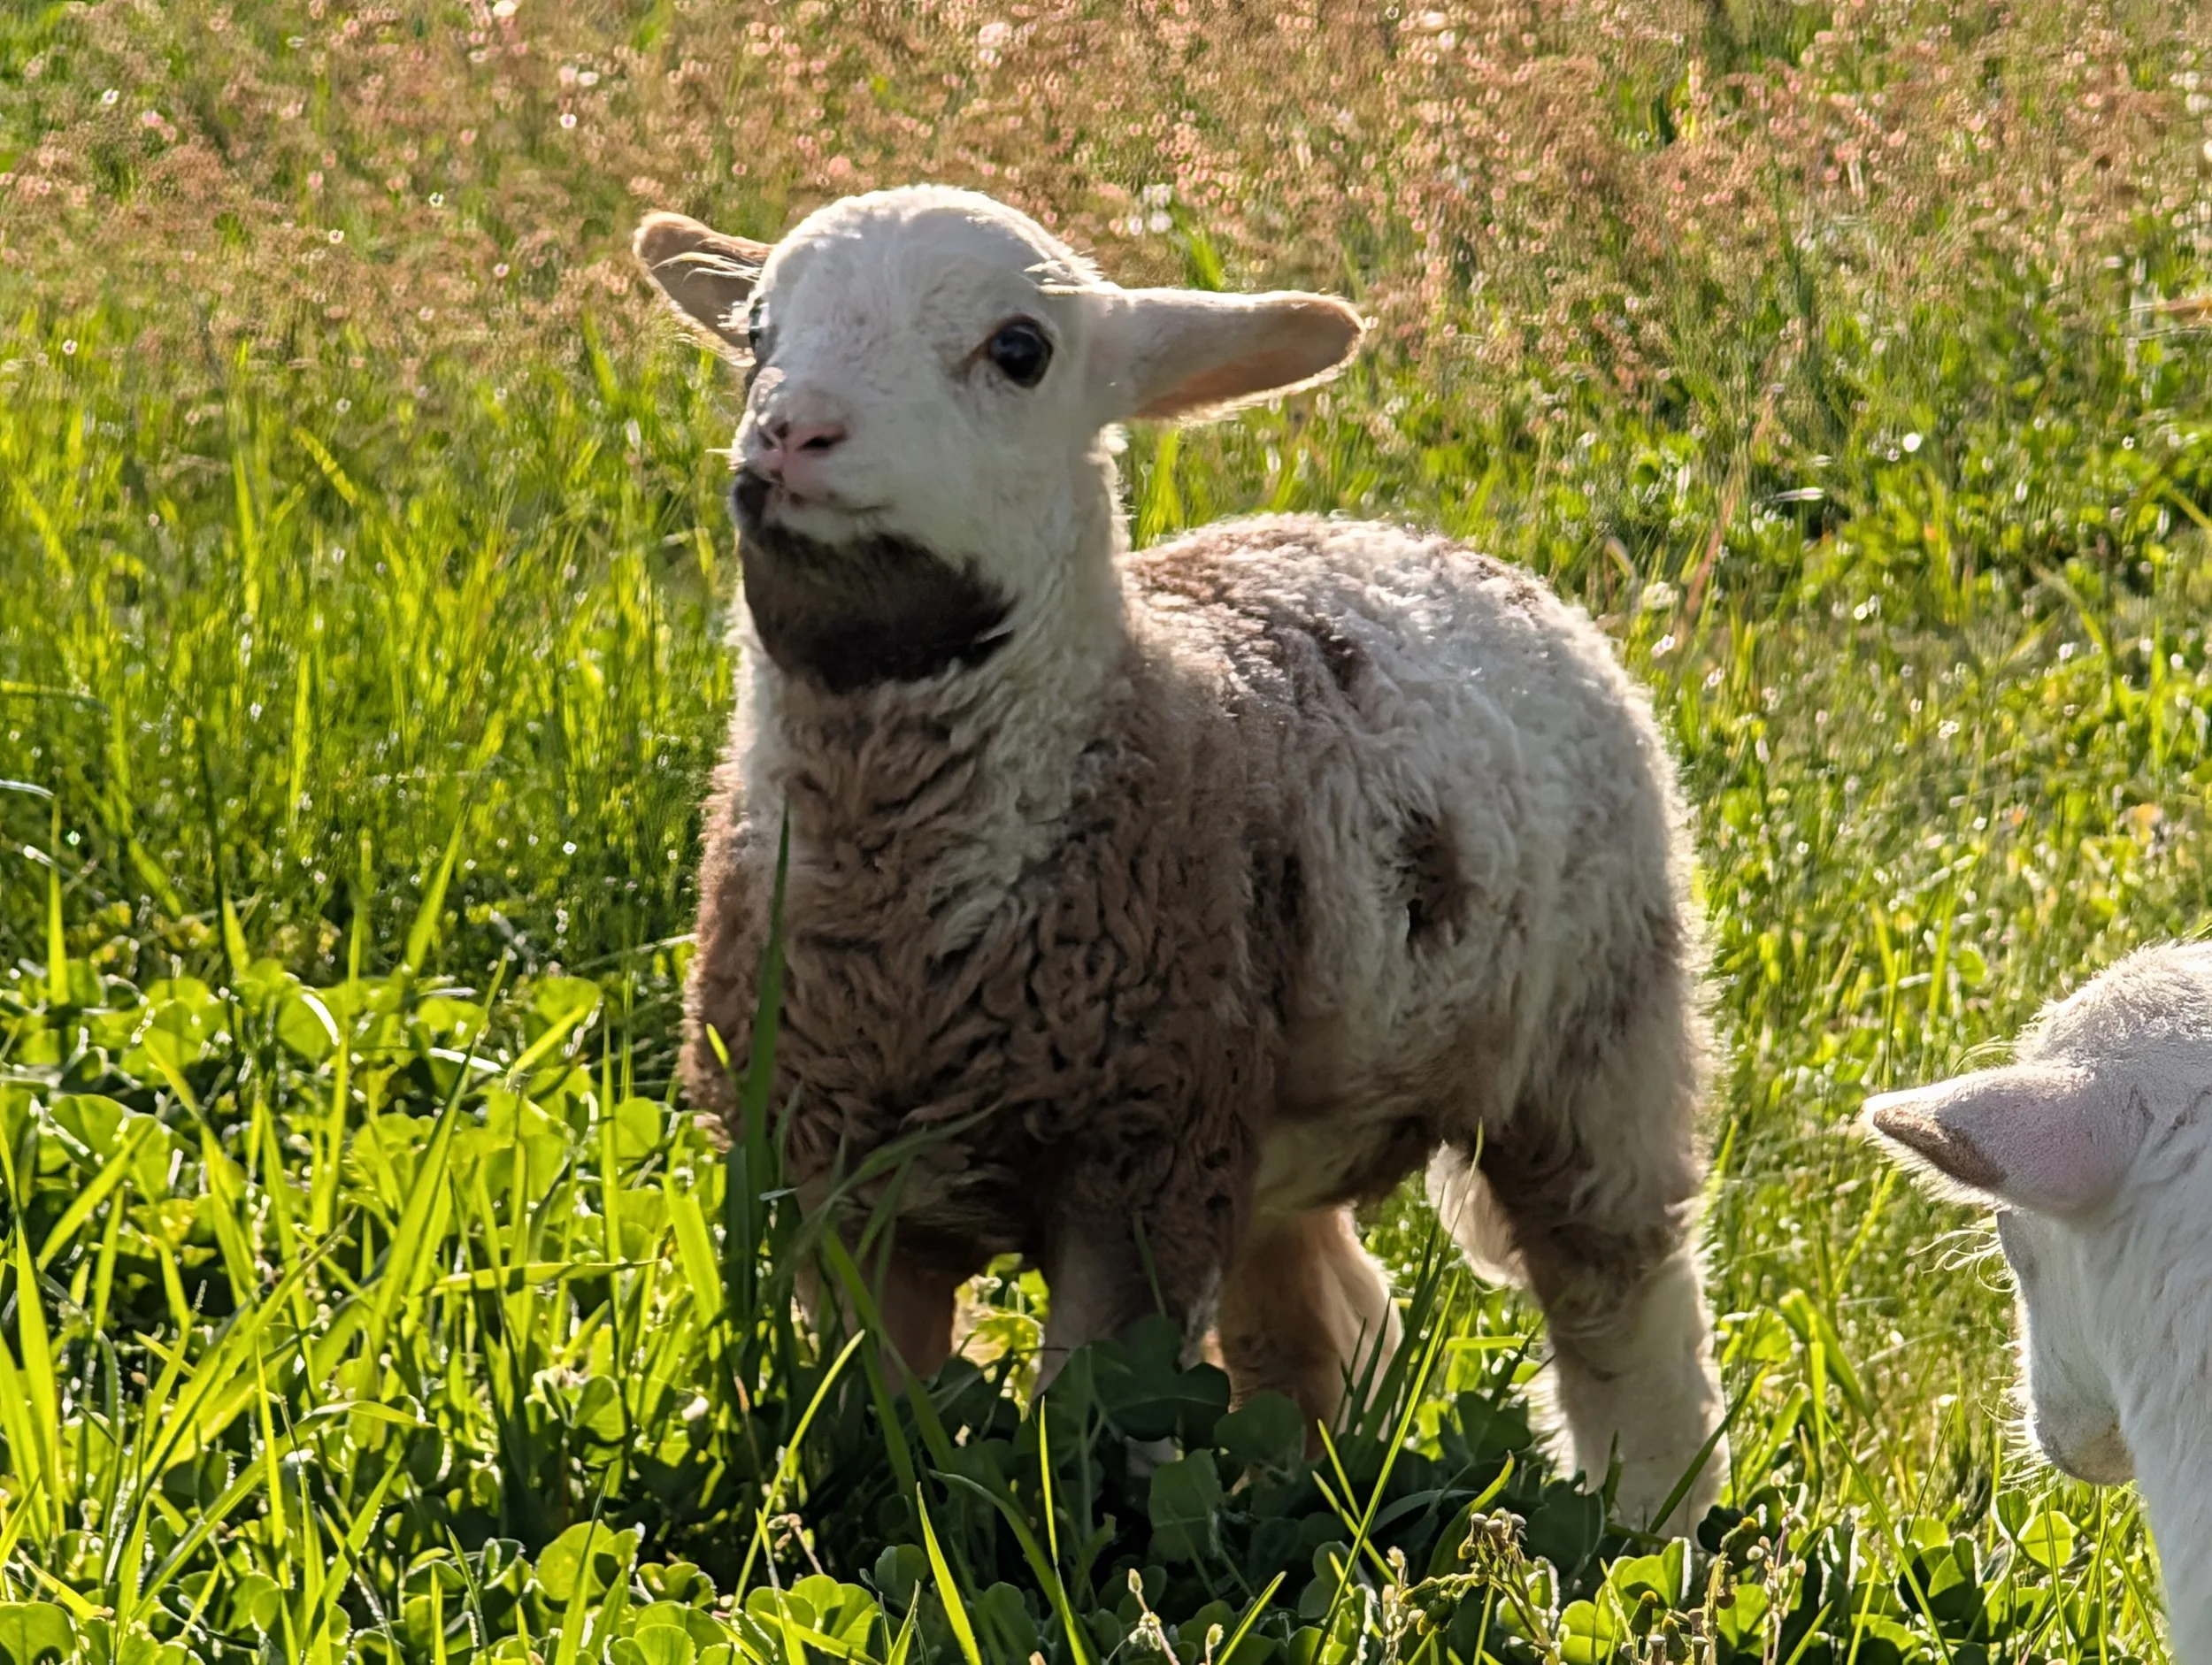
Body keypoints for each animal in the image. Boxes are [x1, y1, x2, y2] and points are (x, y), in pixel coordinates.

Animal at [634, 185, 1729, 1531]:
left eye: (1019, 350)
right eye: (755, 331)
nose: (792, 432)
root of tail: (1423, 543)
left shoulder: (1137, 1167)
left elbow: (1091, 1423)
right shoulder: (831, 1175)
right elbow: (878, 1404)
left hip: (1602, 1030)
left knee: (1619, 1295)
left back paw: (1644, 1521)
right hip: (1266, 1118)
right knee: (1317, 1313)